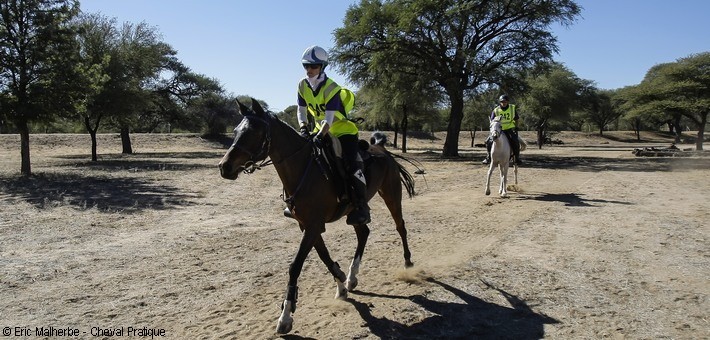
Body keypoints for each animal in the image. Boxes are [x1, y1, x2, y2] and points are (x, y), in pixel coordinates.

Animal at [217, 98, 418, 334]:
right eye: (236, 131)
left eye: (254, 133)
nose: (224, 167)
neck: (304, 168)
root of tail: (383, 150)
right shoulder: (308, 226)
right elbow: (324, 256)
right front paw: (341, 283)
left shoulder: (313, 226)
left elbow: (295, 266)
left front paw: (286, 315)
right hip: (354, 211)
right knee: (364, 232)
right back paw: (352, 277)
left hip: (392, 195)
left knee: (400, 226)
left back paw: (408, 262)